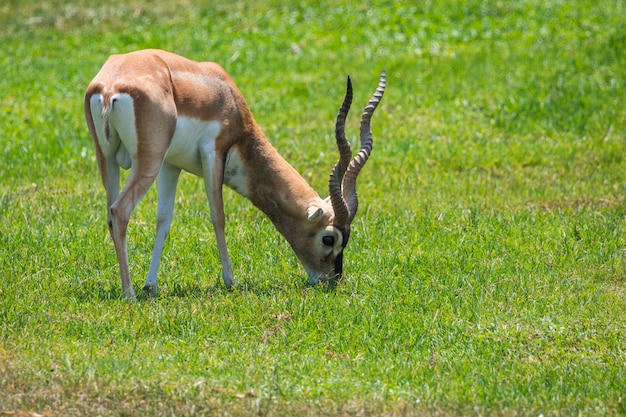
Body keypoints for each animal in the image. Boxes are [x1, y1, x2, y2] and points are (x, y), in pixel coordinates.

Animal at [83, 48, 386, 298]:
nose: (330, 280)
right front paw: (231, 282)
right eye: (328, 238)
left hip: (107, 157)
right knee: (120, 211)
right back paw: (129, 293)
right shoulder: (213, 153)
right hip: (148, 161)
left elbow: (164, 219)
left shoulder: (171, 164)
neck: (225, 96)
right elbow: (218, 216)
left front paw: (151, 285)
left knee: (110, 211)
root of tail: (110, 86)